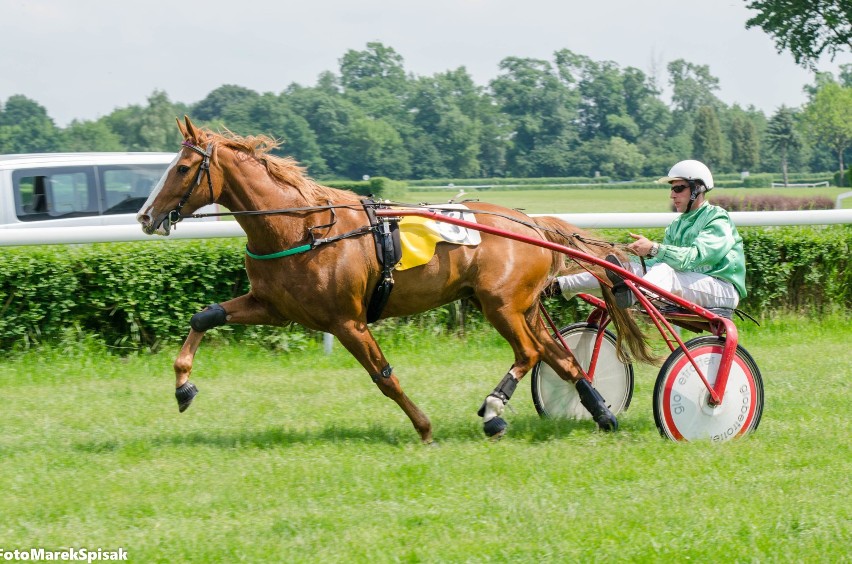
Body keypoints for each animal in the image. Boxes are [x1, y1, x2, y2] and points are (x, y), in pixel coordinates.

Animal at [138, 117, 652, 442]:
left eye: (182, 168)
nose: (146, 217)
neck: (304, 228)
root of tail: (530, 222)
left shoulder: (346, 321)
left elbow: (383, 376)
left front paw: (423, 427)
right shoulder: (274, 306)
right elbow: (204, 316)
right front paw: (183, 387)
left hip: (501, 304)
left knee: (528, 353)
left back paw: (494, 411)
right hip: (517, 305)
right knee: (558, 356)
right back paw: (602, 414)